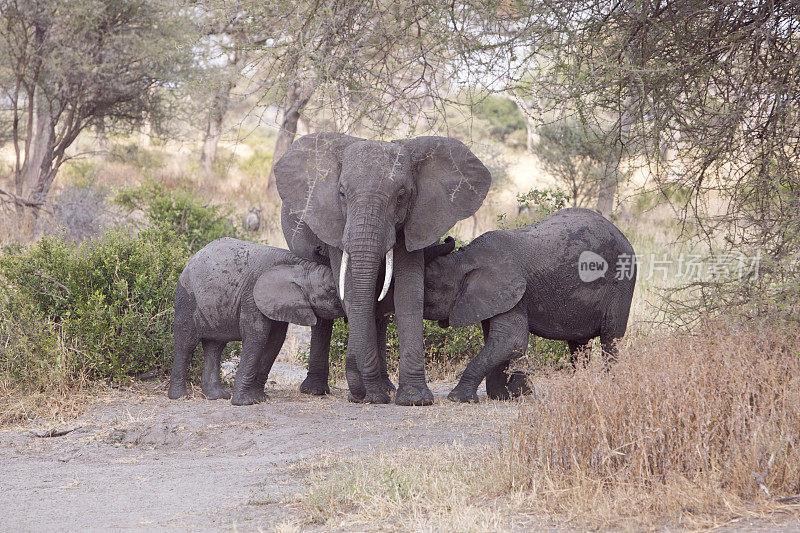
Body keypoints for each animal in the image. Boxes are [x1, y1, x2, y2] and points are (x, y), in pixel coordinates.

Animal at [167, 237, 342, 404]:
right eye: (331, 290)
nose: (318, 247)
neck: (300, 266)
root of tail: (193, 258)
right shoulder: (251, 297)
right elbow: (257, 338)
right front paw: (244, 402)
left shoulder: (277, 304)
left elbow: (275, 342)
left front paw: (260, 399)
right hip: (187, 298)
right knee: (186, 343)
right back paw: (180, 397)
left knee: (215, 347)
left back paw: (217, 396)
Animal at [274, 133, 488, 404]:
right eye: (341, 193)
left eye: (402, 195)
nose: (360, 396)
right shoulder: (335, 223)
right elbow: (351, 290)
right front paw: (375, 396)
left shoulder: (415, 219)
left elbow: (408, 293)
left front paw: (414, 399)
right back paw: (317, 390)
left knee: (379, 311)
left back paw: (385, 387)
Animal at [424, 208, 636, 404]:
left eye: (429, 286)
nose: (447, 238)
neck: (465, 258)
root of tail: (621, 234)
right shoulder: (491, 298)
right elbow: (497, 342)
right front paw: (509, 392)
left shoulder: (515, 293)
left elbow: (512, 341)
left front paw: (458, 398)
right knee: (579, 346)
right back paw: (580, 386)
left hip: (621, 283)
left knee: (610, 338)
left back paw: (610, 388)